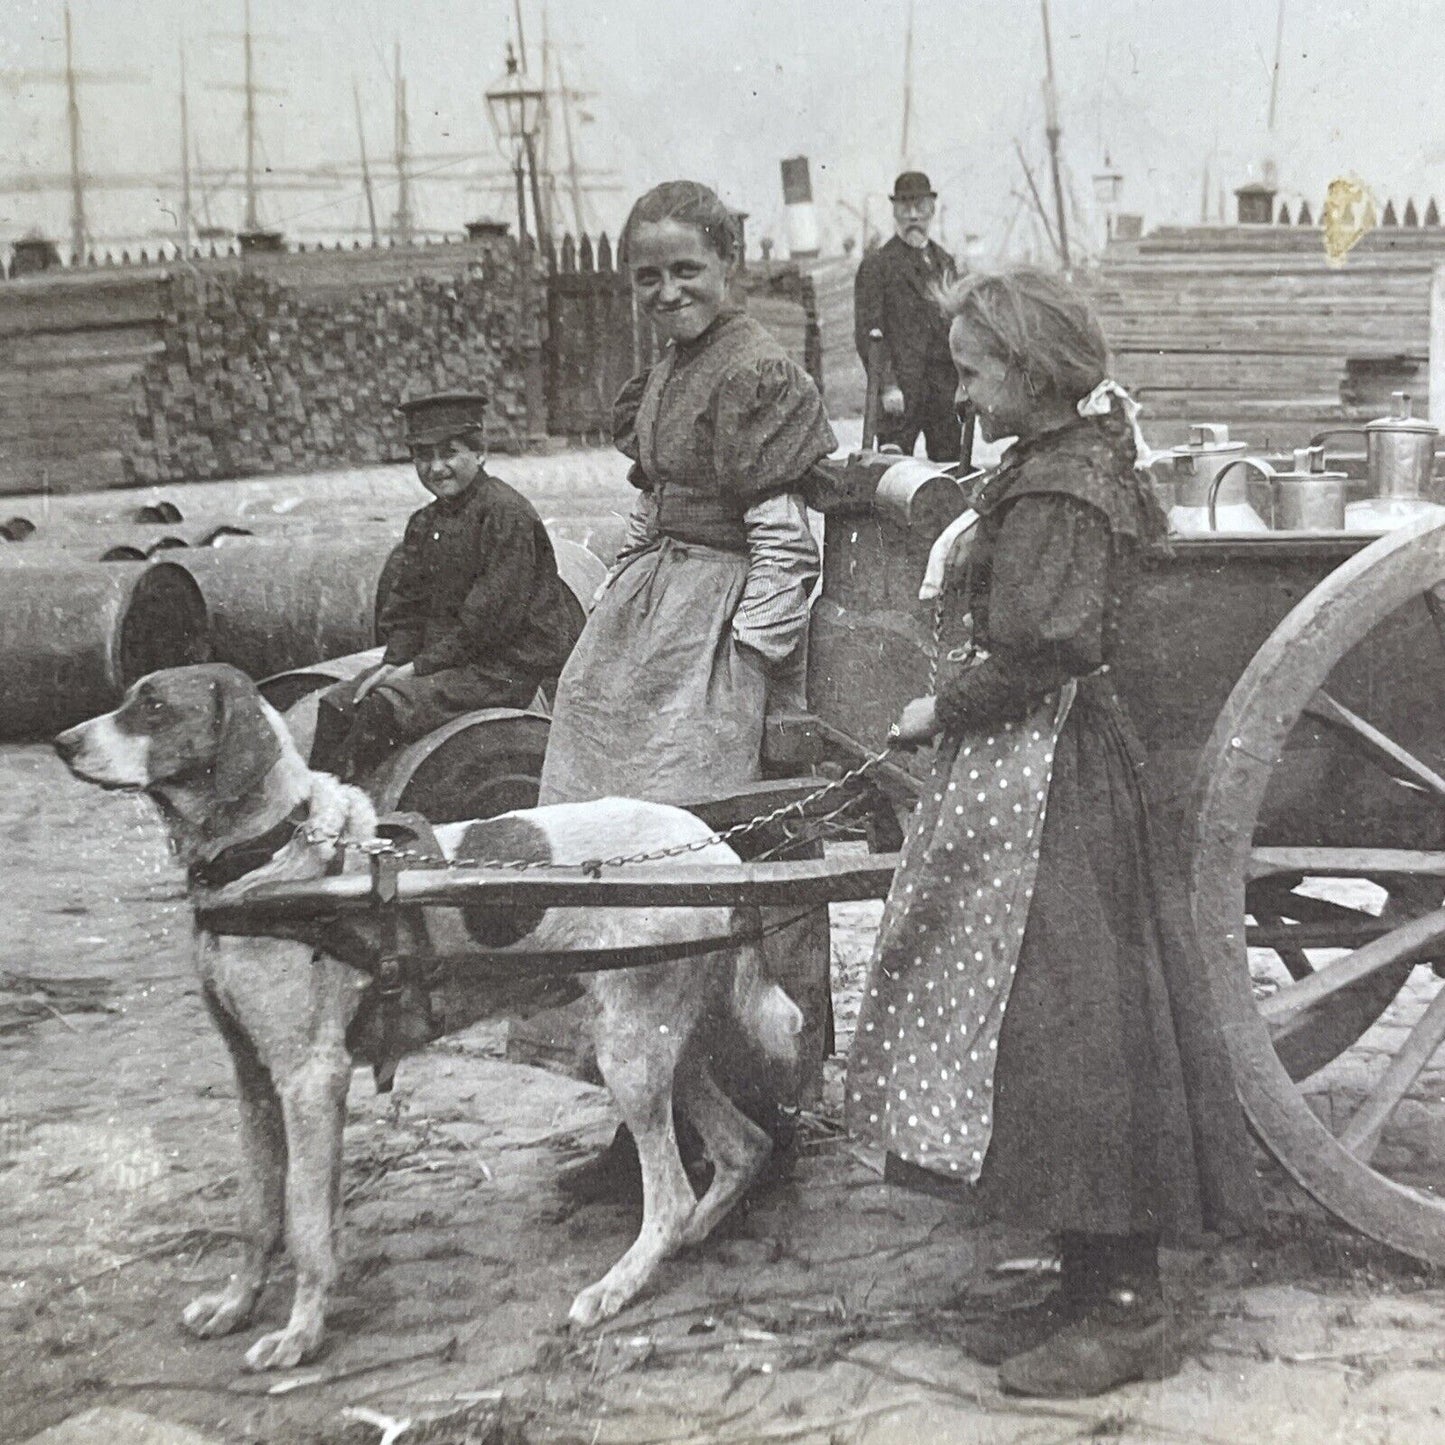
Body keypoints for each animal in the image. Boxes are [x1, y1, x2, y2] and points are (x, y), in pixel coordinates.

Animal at [53, 661, 803, 1364]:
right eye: (130, 696)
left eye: (153, 706)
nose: (61, 743)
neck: (273, 856)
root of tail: (719, 849)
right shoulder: (255, 1079)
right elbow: (259, 1213)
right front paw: (237, 1305)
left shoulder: (310, 1079)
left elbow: (304, 1224)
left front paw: (300, 1334)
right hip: (654, 1043)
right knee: (741, 1147)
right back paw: (690, 1238)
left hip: (630, 1052)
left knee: (671, 1195)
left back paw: (615, 1286)